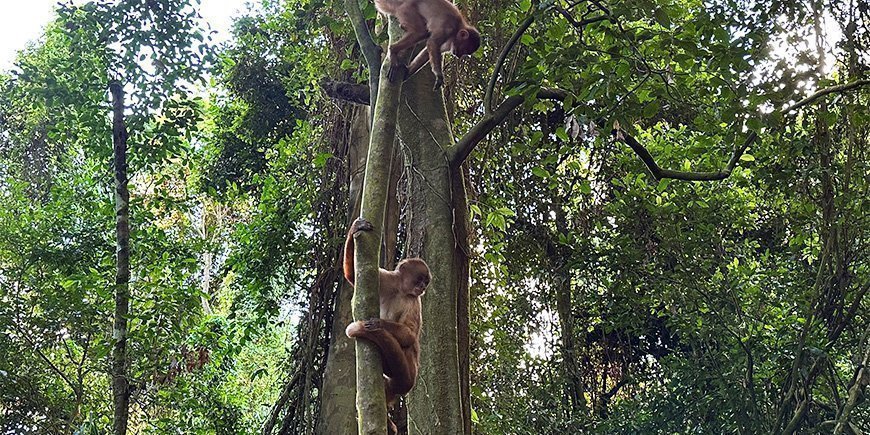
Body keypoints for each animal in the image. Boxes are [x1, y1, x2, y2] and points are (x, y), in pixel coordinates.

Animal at [344, 218, 432, 435]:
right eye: (420, 280)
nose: (422, 287)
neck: (401, 290)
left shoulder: (415, 301)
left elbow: (410, 335)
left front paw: (378, 324)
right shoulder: (388, 279)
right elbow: (352, 277)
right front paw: (355, 228)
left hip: (409, 370)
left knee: (406, 347)